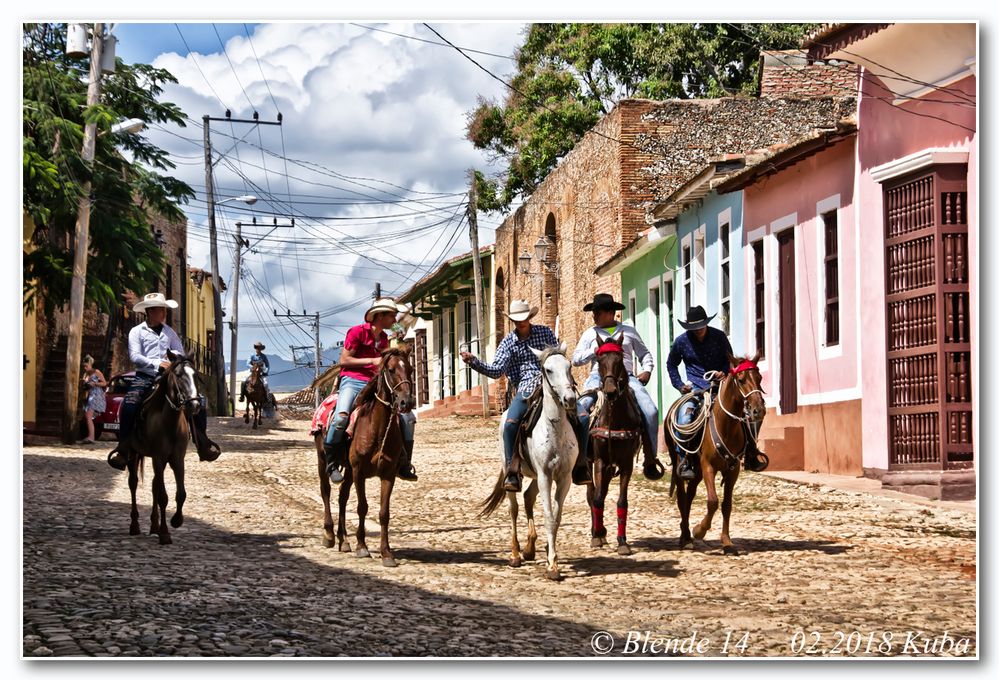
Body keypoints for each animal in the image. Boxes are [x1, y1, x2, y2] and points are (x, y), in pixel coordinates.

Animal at [334, 348, 416, 564]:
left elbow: (384, 512)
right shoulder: (359, 471)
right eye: (391, 369)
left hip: (348, 472)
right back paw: (329, 536)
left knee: (342, 497)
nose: (406, 402)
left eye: (411, 369)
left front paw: (386, 553)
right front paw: (362, 546)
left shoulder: (388, 473)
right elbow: (362, 507)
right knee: (327, 493)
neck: (377, 429)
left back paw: (343, 540)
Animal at [482, 342, 584, 580]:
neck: (554, 429)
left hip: (536, 477)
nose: (570, 399)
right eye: (548, 370)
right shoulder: (546, 477)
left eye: (569, 366)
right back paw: (515, 554)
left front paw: (550, 554)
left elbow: (556, 517)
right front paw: (552, 566)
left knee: (528, 497)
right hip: (512, 473)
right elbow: (548, 515)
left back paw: (529, 548)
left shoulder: (563, 478)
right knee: (514, 508)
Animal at [584, 332, 644, 556]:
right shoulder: (600, 461)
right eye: (600, 360)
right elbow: (597, 498)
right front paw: (597, 535)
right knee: (593, 494)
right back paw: (597, 532)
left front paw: (622, 542)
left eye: (619, 360)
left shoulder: (626, 464)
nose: (610, 391)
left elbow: (621, 501)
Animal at [668, 354, 768, 556]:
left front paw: (727, 542)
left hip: (697, 471)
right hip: (681, 466)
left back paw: (686, 535)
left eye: (759, 378)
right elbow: (713, 501)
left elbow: (726, 505)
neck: (727, 425)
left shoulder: (732, 470)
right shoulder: (708, 466)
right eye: (741, 379)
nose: (758, 410)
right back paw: (686, 537)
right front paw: (699, 530)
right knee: (682, 498)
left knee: (690, 496)